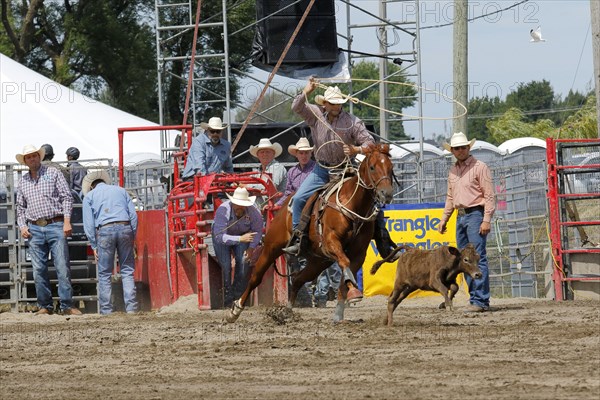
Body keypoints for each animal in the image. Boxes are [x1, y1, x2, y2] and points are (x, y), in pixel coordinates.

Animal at [225, 145, 394, 324]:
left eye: (391, 168)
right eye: (372, 167)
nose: (387, 193)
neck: (351, 204)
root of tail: (283, 206)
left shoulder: (358, 253)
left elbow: (345, 276)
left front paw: (340, 311)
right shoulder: (331, 241)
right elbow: (344, 262)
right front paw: (354, 293)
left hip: (318, 261)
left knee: (298, 279)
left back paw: (286, 311)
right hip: (272, 248)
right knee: (255, 278)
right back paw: (235, 310)